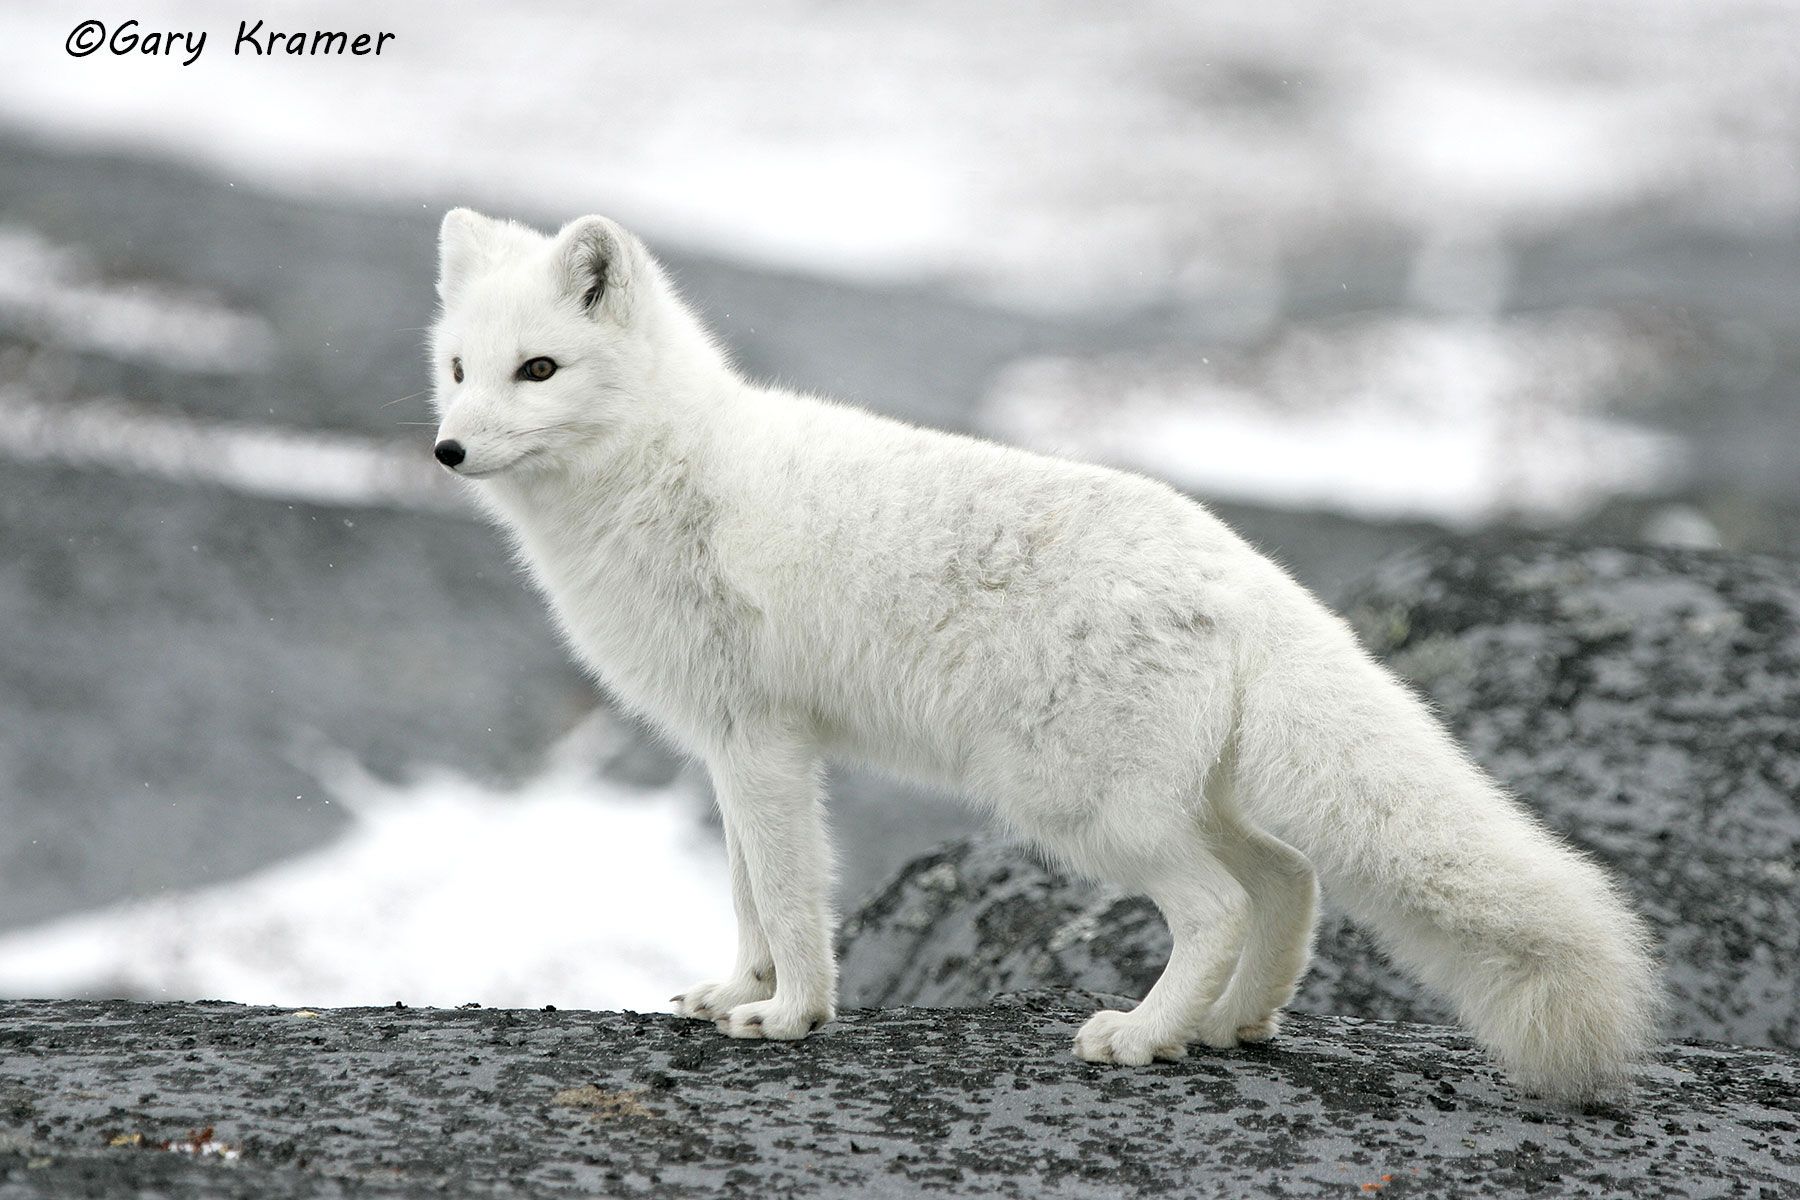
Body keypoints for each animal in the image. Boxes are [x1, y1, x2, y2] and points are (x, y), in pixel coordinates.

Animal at [428, 208, 1659, 1102]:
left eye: (539, 370)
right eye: (456, 369)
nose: (445, 451)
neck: (663, 474)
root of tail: (1245, 573)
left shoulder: (763, 746)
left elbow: (785, 893)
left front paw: (792, 1016)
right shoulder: (727, 750)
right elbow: (743, 899)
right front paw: (735, 989)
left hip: (1080, 806)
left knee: (1219, 904)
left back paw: (1142, 1036)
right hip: (1163, 796)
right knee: (1289, 877)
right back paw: (1228, 1026)